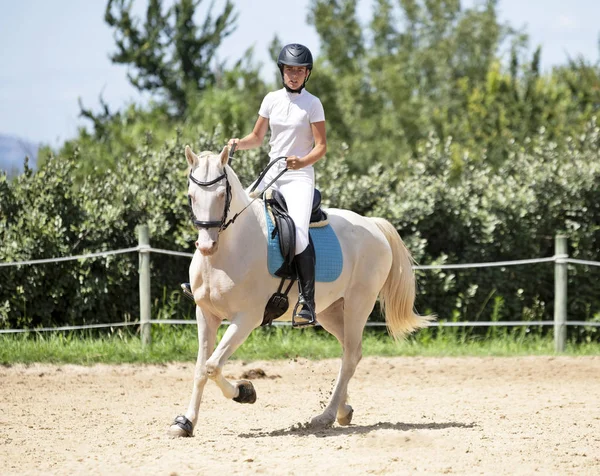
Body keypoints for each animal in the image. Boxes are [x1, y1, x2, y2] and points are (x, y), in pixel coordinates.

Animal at [168, 146, 432, 438]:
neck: (229, 250)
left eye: (222, 195)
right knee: (350, 350)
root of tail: (373, 224)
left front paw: (245, 391)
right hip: (330, 310)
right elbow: (200, 368)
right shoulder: (205, 314)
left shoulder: (246, 318)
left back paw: (326, 416)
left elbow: (212, 366)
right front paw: (185, 422)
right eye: (191, 196)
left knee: (351, 354)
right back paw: (344, 409)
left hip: (358, 303)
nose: (206, 246)